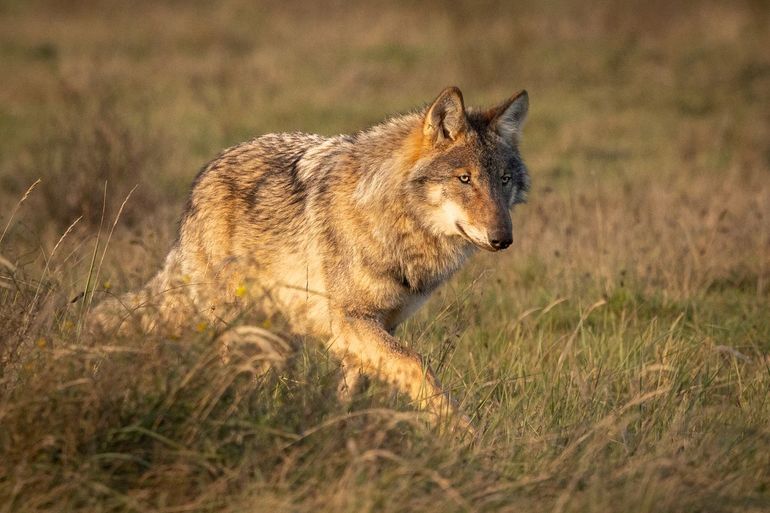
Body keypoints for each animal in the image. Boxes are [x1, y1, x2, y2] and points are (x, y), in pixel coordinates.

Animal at [93, 86, 530, 432]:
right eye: (464, 179)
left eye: (503, 180)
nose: (503, 239)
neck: (395, 222)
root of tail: (204, 177)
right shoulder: (349, 320)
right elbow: (416, 365)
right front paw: (464, 436)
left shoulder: (380, 325)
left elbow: (354, 391)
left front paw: (338, 431)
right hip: (231, 324)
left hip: (275, 339)